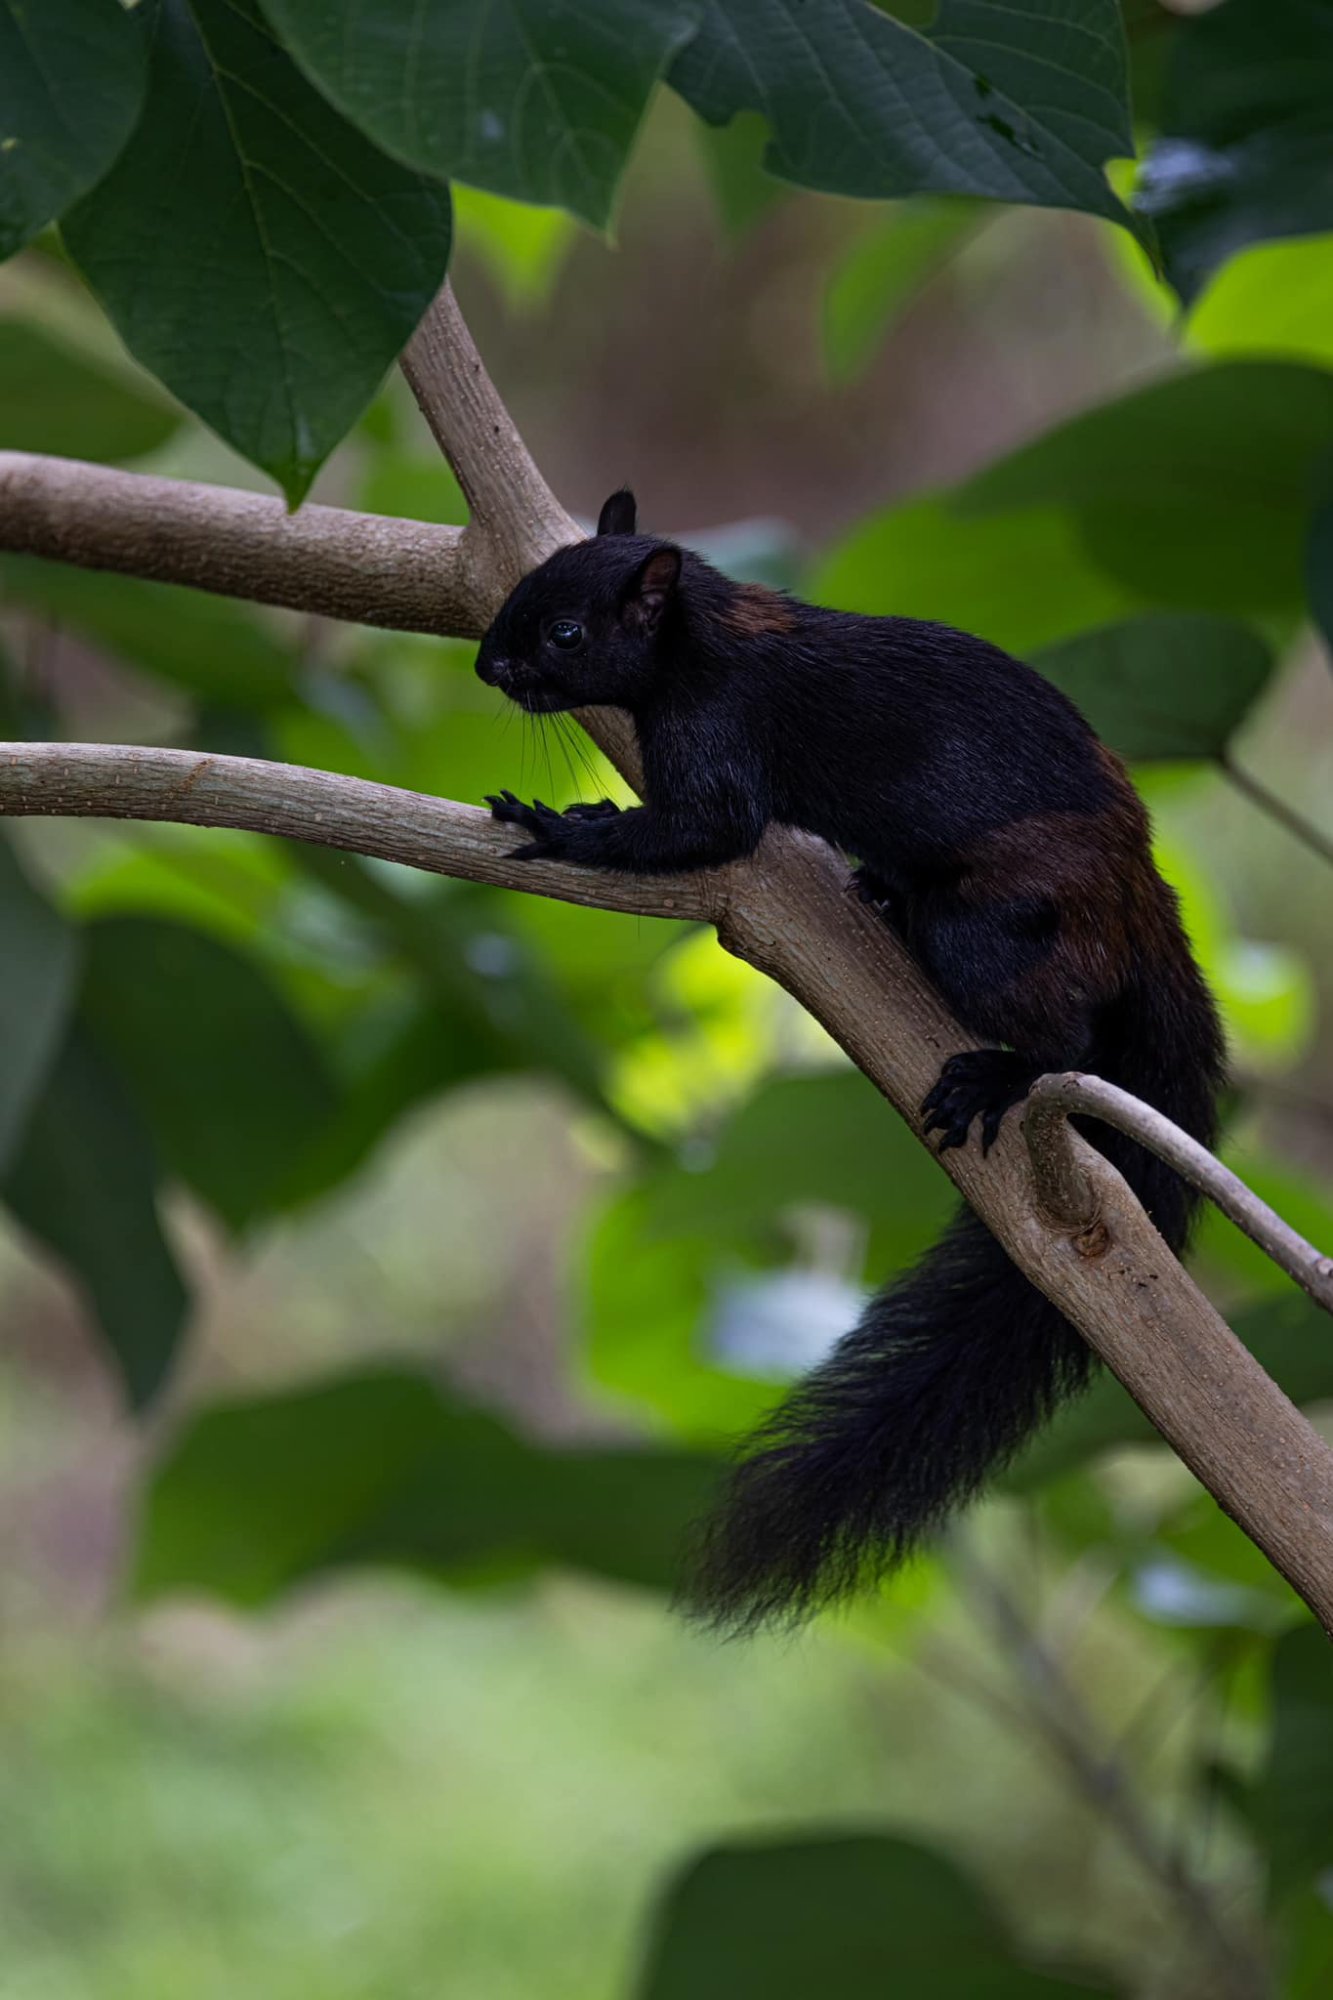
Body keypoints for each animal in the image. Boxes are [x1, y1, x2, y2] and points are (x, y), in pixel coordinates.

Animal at [475, 488, 1226, 1630]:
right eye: (520, 590)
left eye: (564, 632)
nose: (487, 665)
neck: (700, 639)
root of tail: (1138, 900)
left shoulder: (720, 739)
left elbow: (710, 829)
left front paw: (561, 826)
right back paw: (878, 894)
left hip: (991, 931)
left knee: (1069, 1041)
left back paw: (1002, 1073)